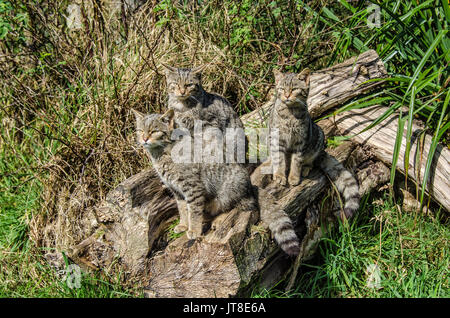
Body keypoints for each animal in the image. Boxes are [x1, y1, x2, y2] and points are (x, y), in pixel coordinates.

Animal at [268, 69, 360, 219]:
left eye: (294, 89)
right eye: (281, 89)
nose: (287, 95)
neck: (290, 113)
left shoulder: (301, 142)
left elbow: (296, 162)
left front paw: (294, 177)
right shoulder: (277, 139)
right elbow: (280, 160)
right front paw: (280, 176)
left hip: (318, 140)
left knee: (310, 162)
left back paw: (305, 169)